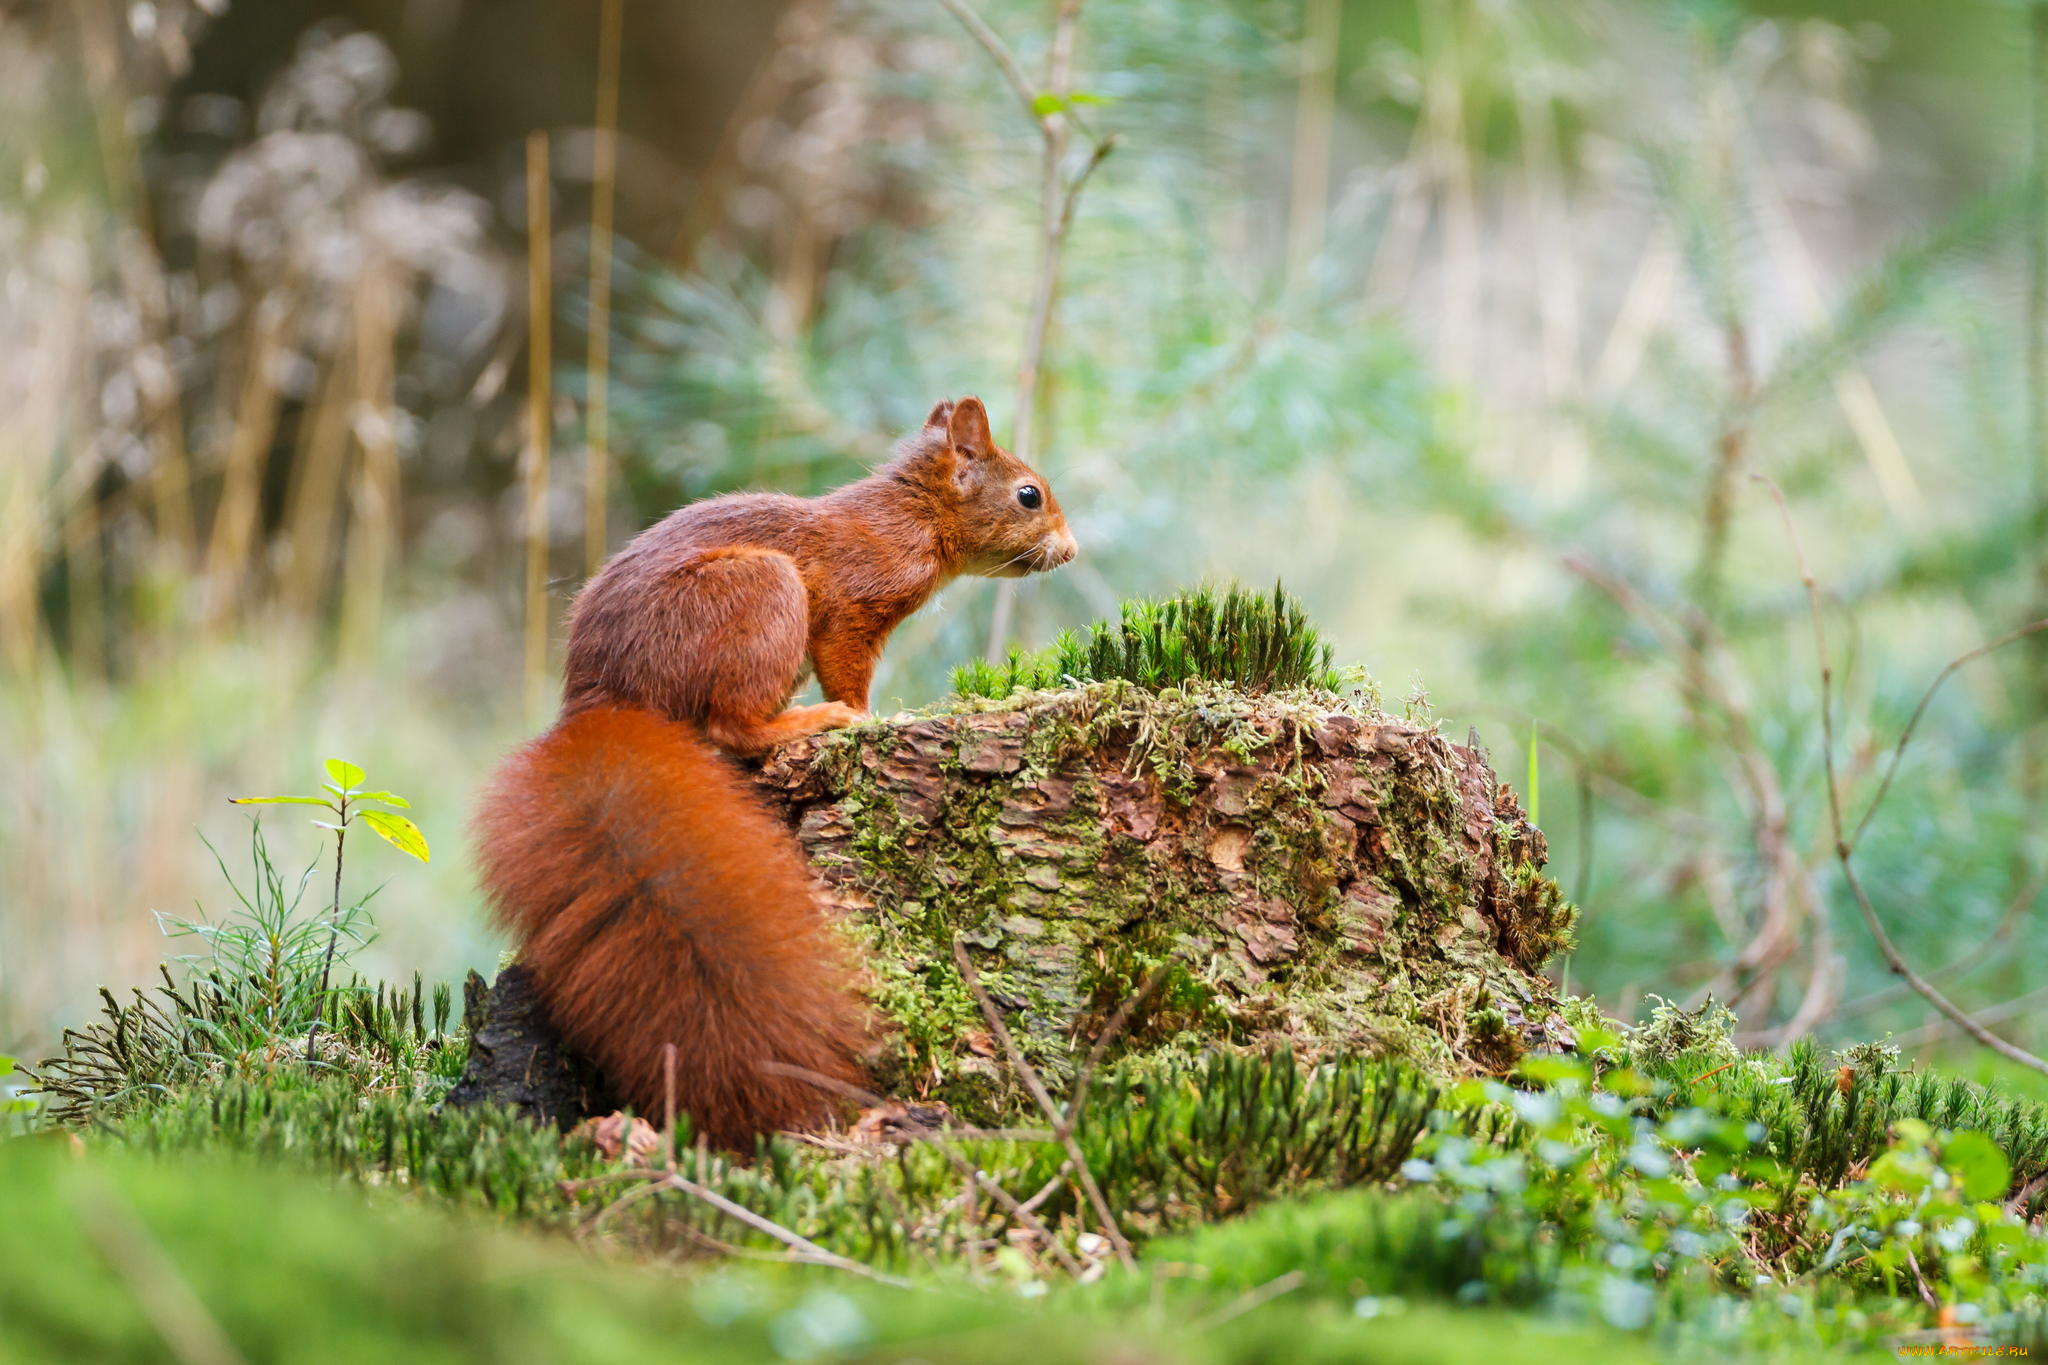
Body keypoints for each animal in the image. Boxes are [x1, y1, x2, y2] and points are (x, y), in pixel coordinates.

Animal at [473, 397, 1076, 1148]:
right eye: (1029, 495)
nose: (1072, 549)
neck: (911, 513)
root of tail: (602, 705)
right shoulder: (852, 608)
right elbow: (848, 668)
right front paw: (863, 712)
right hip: (759, 594)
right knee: (732, 725)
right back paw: (812, 720)